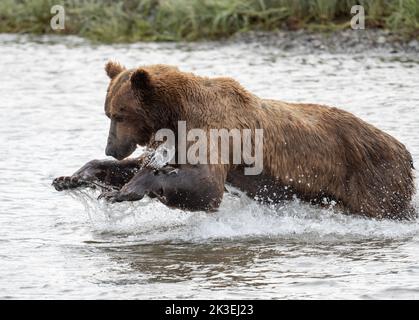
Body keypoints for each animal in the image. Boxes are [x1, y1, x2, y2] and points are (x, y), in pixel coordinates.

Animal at [53, 61, 416, 219]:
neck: (175, 114)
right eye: (108, 112)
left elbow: (205, 185)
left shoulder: (216, 129)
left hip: (373, 177)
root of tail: (404, 149)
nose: (111, 147)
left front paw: (127, 189)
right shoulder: (176, 138)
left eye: (118, 115)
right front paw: (72, 177)